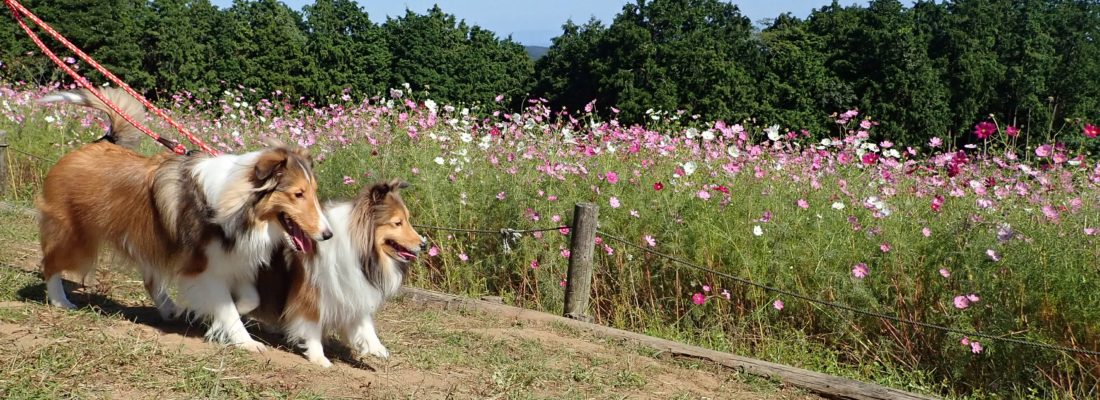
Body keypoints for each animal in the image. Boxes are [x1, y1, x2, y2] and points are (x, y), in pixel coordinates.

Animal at [36, 89, 332, 351]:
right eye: (298, 194)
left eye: (313, 192)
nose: (328, 235)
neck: (238, 204)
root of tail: (100, 142)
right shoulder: (202, 267)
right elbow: (226, 307)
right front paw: (245, 341)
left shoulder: (230, 259)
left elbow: (248, 299)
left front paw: (213, 317)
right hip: (77, 239)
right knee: (50, 264)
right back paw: (60, 301)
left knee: (150, 278)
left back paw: (170, 309)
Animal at [249, 180, 424, 367]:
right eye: (397, 223)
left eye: (407, 220)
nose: (424, 244)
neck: (355, 245)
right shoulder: (310, 295)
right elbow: (312, 328)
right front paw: (318, 357)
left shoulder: (350, 289)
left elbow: (364, 323)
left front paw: (377, 348)